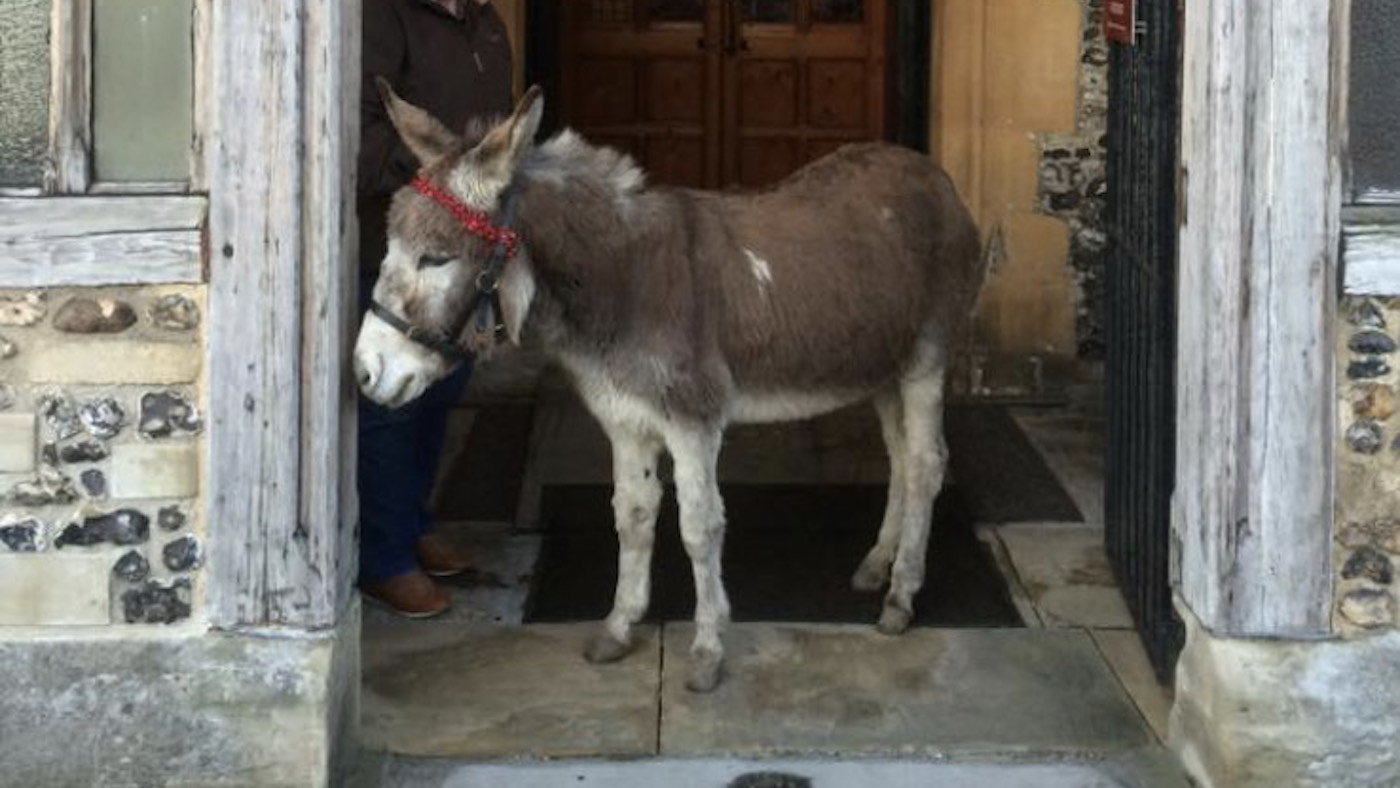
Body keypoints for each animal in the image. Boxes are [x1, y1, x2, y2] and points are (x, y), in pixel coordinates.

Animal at [354, 82, 985, 693]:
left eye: (436, 258)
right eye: (389, 248)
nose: (363, 371)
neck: (622, 280)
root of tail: (932, 174)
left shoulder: (692, 422)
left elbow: (700, 527)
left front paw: (706, 651)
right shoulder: (625, 420)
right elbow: (632, 516)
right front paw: (619, 625)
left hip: (925, 360)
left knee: (926, 463)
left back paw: (902, 595)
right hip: (880, 366)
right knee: (900, 458)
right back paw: (878, 566)